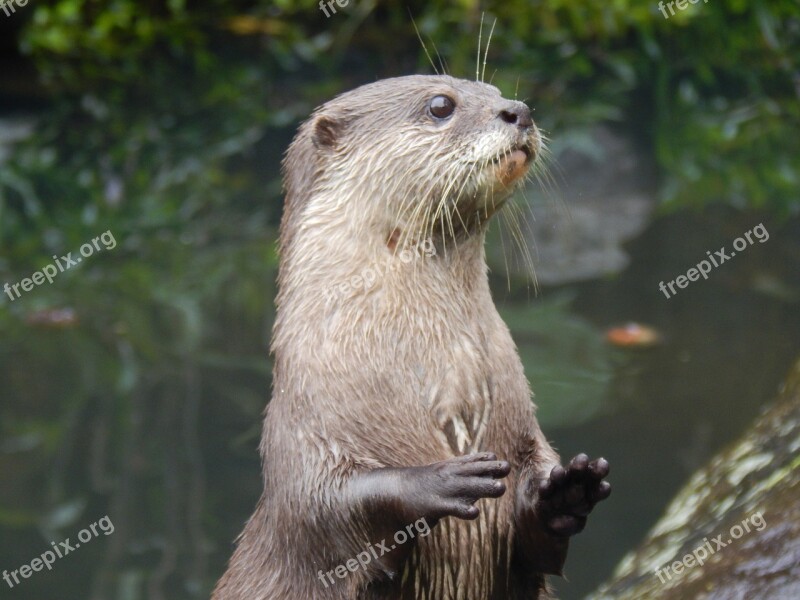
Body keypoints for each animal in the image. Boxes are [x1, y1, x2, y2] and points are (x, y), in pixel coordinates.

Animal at [209, 75, 608, 600]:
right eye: (441, 105)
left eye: (494, 89)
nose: (519, 111)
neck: (446, 375)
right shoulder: (302, 438)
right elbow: (325, 505)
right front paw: (440, 480)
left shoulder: (523, 431)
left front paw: (564, 490)